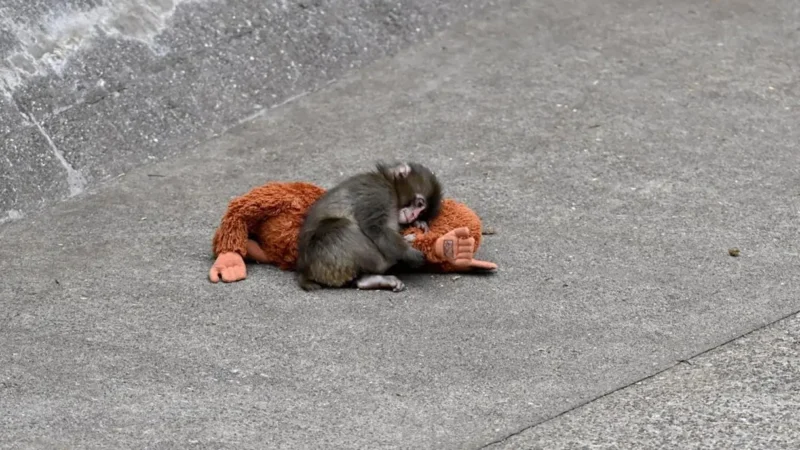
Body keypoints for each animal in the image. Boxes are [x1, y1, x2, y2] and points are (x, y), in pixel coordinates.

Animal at [295, 161, 443, 292]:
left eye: (422, 212)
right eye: (419, 204)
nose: (413, 216)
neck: (390, 185)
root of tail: (305, 270)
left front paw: (419, 224)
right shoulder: (378, 193)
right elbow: (375, 228)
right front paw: (408, 253)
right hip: (324, 255)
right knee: (342, 227)